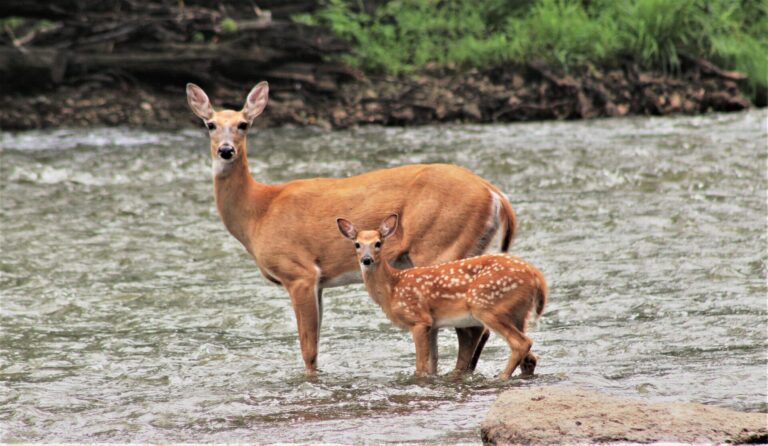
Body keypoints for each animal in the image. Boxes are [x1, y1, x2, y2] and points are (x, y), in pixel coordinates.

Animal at [186, 81, 518, 376]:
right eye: (210, 125)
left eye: (243, 124)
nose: (226, 150)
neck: (258, 212)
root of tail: (494, 193)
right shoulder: (318, 282)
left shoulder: (299, 273)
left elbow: (308, 349)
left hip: (440, 247)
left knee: (471, 329)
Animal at [337, 214, 547, 379]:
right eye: (357, 244)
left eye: (378, 243)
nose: (366, 260)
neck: (392, 288)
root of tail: (536, 275)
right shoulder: (433, 325)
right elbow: (432, 364)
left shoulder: (419, 319)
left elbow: (421, 366)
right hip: (518, 313)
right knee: (529, 356)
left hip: (486, 306)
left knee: (521, 343)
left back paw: (500, 377)